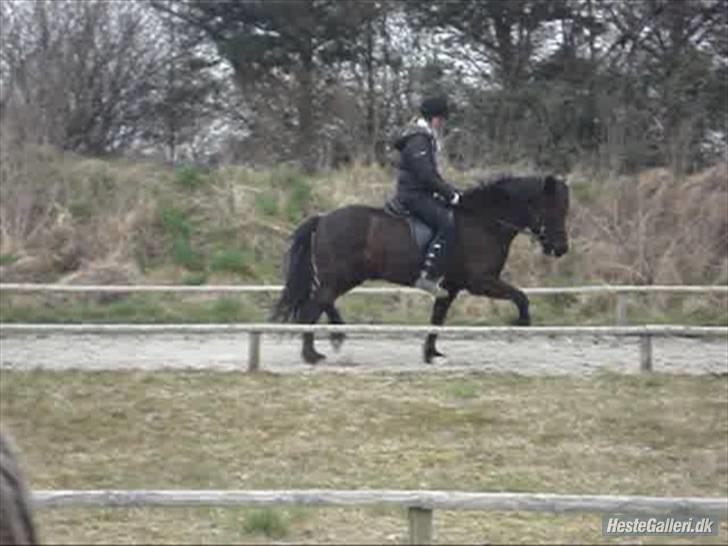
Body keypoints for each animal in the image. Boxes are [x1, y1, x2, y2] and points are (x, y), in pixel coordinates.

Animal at [272, 174, 570, 364]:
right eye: (554, 209)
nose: (561, 248)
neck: (484, 221)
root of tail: (322, 219)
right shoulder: (481, 282)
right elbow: (521, 296)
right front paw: (522, 323)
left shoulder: (450, 286)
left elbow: (437, 317)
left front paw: (430, 353)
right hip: (341, 276)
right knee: (315, 306)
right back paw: (314, 353)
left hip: (344, 277)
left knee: (321, 302)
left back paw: (331, 338)